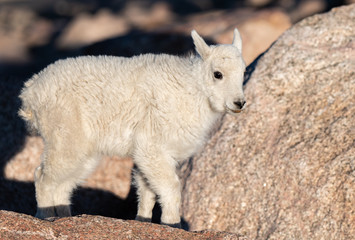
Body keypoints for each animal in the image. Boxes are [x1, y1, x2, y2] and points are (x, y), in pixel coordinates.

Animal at [19, 29, 246, 228]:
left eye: (243, 72)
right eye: (218, 74)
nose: (239, 103)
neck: (193, 90)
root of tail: (30, 94)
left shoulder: (148, 153)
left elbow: (147, 191)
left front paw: (143, 221)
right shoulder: (152, 146)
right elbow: (171, 187)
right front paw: (173, 224)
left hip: (85, 149)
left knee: (64, 184)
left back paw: (65, 218)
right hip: (64, 133)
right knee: (43, 176)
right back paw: (45, 217)